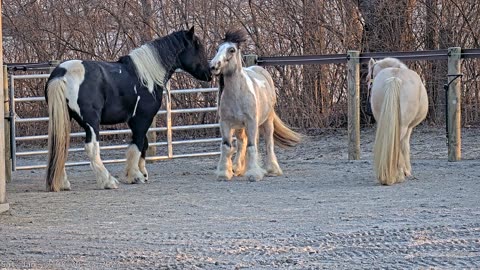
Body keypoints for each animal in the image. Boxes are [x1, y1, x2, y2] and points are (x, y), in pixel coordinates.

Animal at [46, 27, 211, 192]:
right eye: (198, 47)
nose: (209, 74)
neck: (146, 76)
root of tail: (62, 74)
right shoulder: (142, 119)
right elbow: (138, 144)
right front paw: (135, 176)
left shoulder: (135, 121)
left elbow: (143, 144)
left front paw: (142, 173)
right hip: (91, 122)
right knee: (91, 147)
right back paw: (108, 181)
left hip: (64, 118)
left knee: (60, 144)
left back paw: (62, 183)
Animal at [210, 29, 300, 181]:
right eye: (218, 49)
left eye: (232, 50)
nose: (213, 66)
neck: (237, 94)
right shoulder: (225, 123)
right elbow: (227, 147)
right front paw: (224, 173)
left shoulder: (251, 122)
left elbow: (252, 146)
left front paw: (253, 174)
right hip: (239, 127)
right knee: (241, 143)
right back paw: (237, 168)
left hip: (266, 121)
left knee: (268, 143)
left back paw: (272, 169)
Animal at [368, 57, 428, 186]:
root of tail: (394, 78)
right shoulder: (409, 128)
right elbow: (404, 146)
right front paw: (406, 171)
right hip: (403, 126)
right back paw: (397, 175)